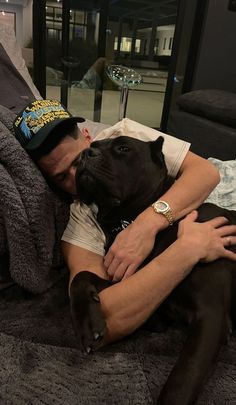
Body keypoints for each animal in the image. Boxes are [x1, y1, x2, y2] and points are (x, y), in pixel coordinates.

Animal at [70, 137, 236, 404]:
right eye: (94, 144)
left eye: (123, 148)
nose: (85, 153)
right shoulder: (135, 281)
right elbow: (81, 276)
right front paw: (86, 322)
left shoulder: (211, 317)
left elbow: (182, 380)